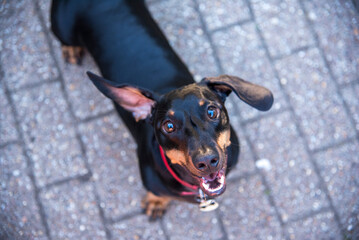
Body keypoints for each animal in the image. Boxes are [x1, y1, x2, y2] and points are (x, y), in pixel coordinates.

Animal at [52, 0, 274, 218]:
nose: (207, 161)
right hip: (62, 27)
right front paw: (156, 201)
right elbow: (157, 193)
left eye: (212, 112)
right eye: (168, 126)